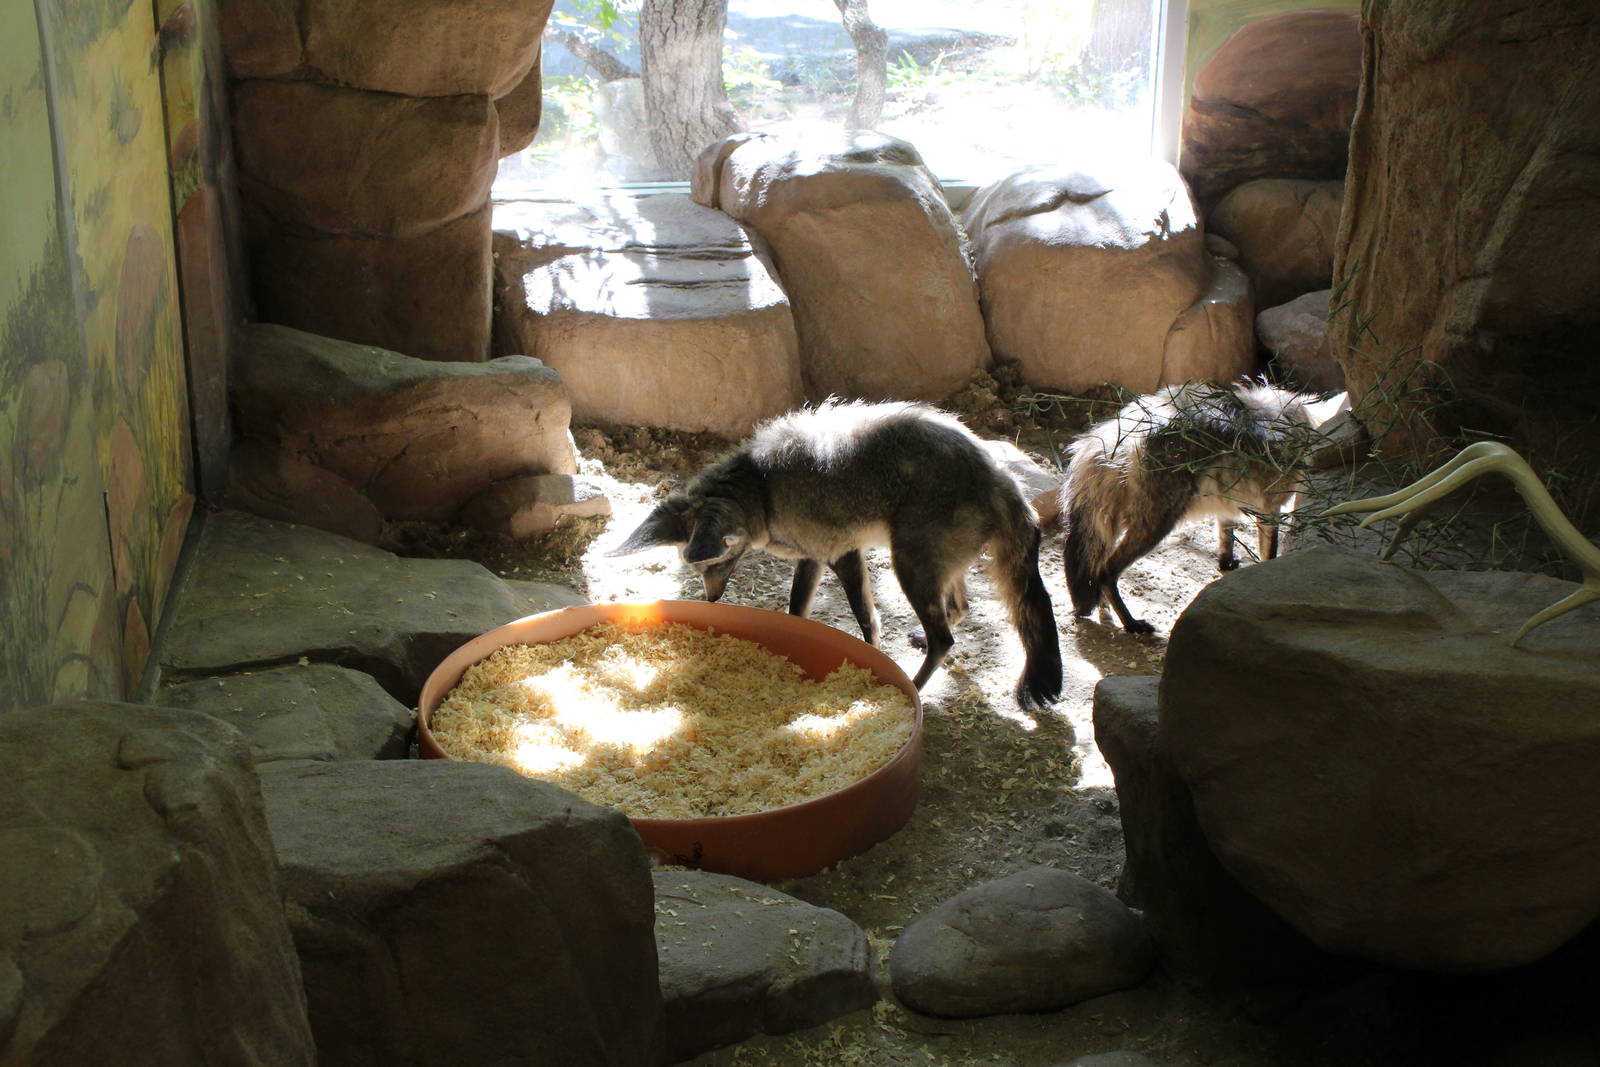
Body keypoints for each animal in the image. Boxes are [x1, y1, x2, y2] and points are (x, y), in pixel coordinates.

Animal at [610, 399, 1064, 710]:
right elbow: (797, 611)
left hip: (909, 567)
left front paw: (876, 665)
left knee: (945, 638)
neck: (761, 485)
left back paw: (914, 688)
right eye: (697, 570)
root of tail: (1000, 476)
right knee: (959, 609)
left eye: (713, 563)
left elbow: (867, 622)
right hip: (936, 568)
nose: (711, 599)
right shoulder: (813, 557)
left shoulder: (842, 554)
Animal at [1060, 380, 1346, 634]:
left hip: (1112, 526)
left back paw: (1105, 612)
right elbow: (1270, 553)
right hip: (1155, 526)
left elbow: (1226, 538)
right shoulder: (1269, 510)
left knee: (1095, 571)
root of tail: (1109, 437)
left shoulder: (1227, 507)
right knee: (1106, 572)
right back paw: (1131, 624)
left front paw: (1227, 564)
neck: (1305, 418)